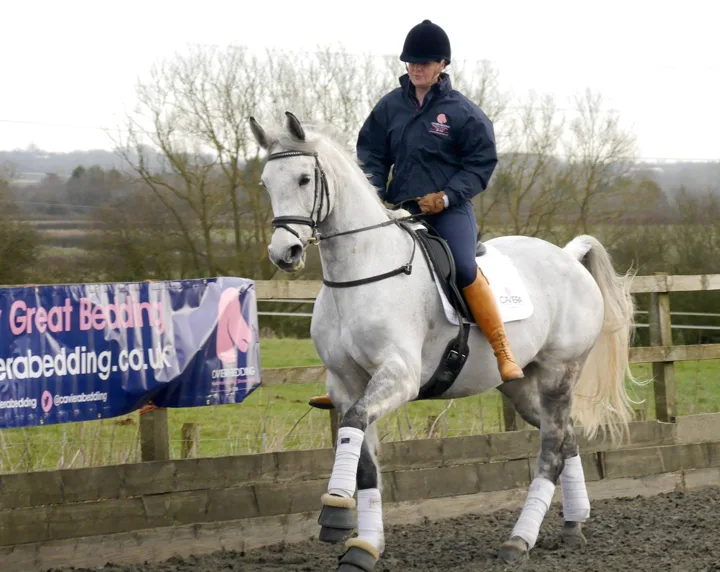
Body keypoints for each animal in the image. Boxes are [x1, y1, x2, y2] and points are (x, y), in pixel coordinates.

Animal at [249, 112, 639, 571]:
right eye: (266, 183)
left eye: (305, 178)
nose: (284, 253)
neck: (361, 273)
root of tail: (568, 256)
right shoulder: (346, 384)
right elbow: (363, 457)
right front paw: (364, 547)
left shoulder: (399, 376)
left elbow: (354, 425)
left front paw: (335, 514)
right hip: (523, 386)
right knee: (566, 438)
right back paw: (573, 527)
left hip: (560, 374)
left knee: (550, 450)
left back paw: (519, 540)